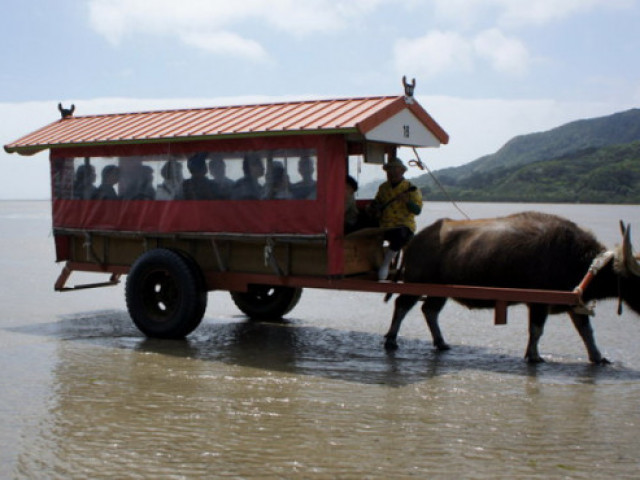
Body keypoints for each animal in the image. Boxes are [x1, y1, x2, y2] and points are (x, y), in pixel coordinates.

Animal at [384, 211, 640, 364]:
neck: (578, 259)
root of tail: (415, 240)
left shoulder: (573, 301)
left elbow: (586, 331)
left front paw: (598, 357)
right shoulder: (538, 303)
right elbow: (537, 330)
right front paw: (534, 356)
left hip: (440, 290)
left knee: (429, 310)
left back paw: (440, 343)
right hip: (416, 283)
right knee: (401, 305)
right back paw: (391, 340)